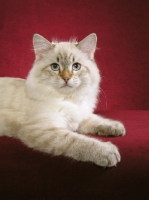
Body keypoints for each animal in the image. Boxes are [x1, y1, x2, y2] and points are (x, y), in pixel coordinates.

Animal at [0, 33, 125, 167]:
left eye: (76, 66)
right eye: (55, 66)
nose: (66, 78)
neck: (69, 99)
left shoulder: (80, 117)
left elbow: (97, 120)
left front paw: (116, 127)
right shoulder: (44, 130)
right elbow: (78, 141)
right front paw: (107, 151)